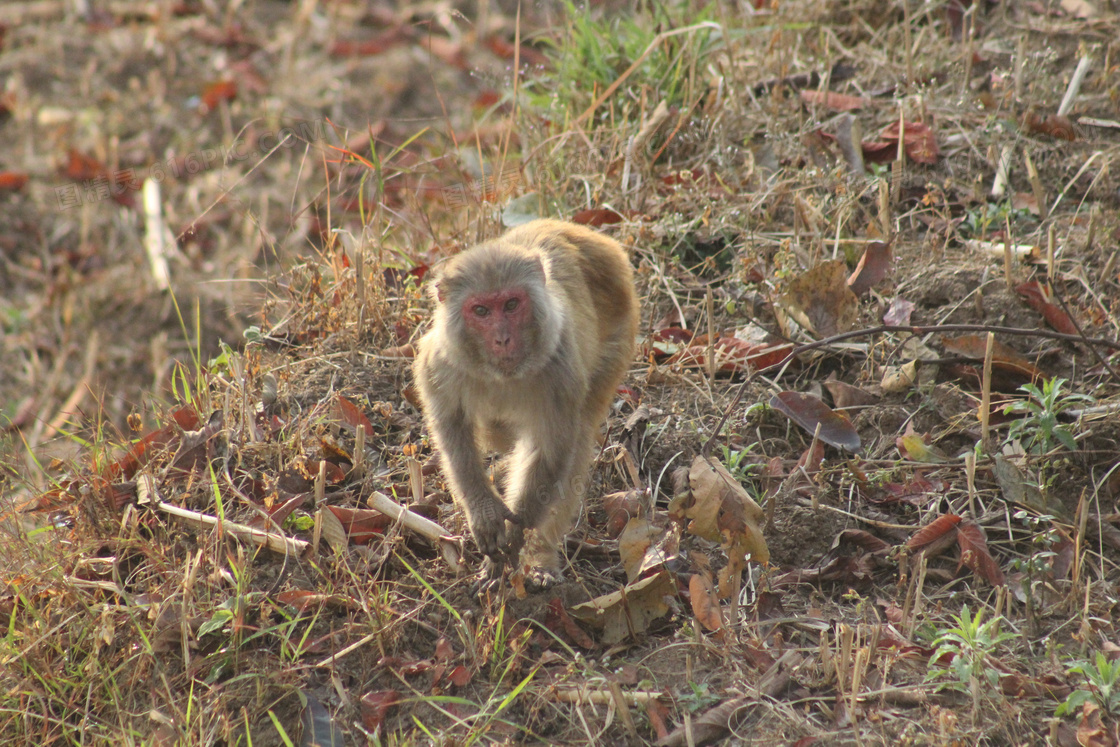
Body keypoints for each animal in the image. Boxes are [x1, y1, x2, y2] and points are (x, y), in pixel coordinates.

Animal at [412, 219, 640, 586]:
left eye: (511, 305)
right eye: (481, 310)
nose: (502, 339)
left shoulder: (561, 368)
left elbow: (549, 450)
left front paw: (516, 534)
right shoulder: (439, 364)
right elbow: (452, 431)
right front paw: (485, 511)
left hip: (619, 333)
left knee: (577, 439)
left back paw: (541, 556)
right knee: (496, 433)